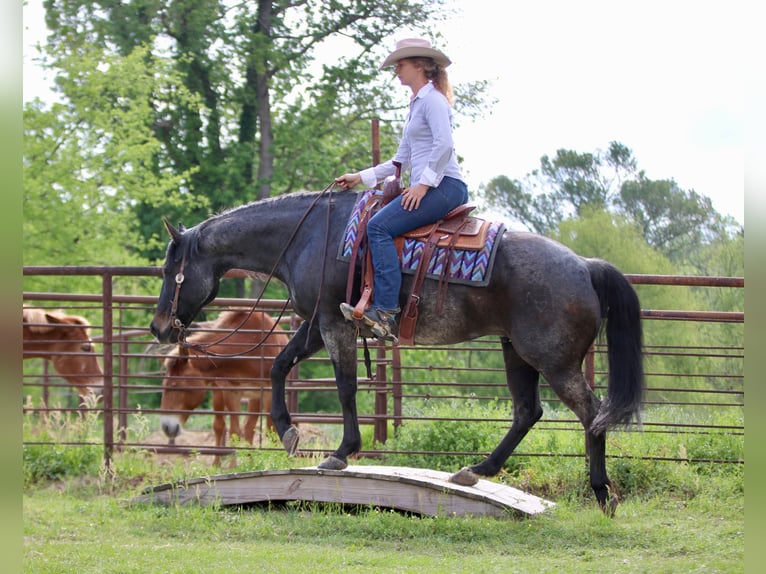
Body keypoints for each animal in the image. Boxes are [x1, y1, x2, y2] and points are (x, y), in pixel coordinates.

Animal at [160, 309, 287, 464]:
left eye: (176, 385)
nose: (166, 427)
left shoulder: (268, 392)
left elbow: (270, 429)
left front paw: (276, 458)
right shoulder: (231, 391)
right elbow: (234, 431)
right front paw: (233, 466)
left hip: (256, 396)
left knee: (250, 427)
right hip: (221, 393)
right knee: (224, 426)